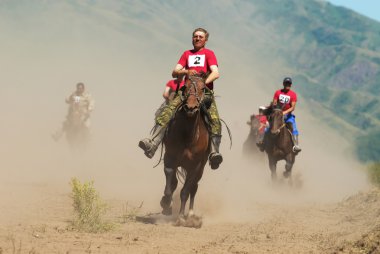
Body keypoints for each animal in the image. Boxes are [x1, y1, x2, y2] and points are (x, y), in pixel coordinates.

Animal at [159, 72, 209, 228]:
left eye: (203, 88)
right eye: (185, 87)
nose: (191, 108)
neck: (188, 136)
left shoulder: (195, 166)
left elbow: (185, 191)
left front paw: (181, 217)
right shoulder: (170, 158)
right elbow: (170, 183)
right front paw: (166, 204)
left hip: (201, 168)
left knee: (194, 187)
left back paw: (191, 215)